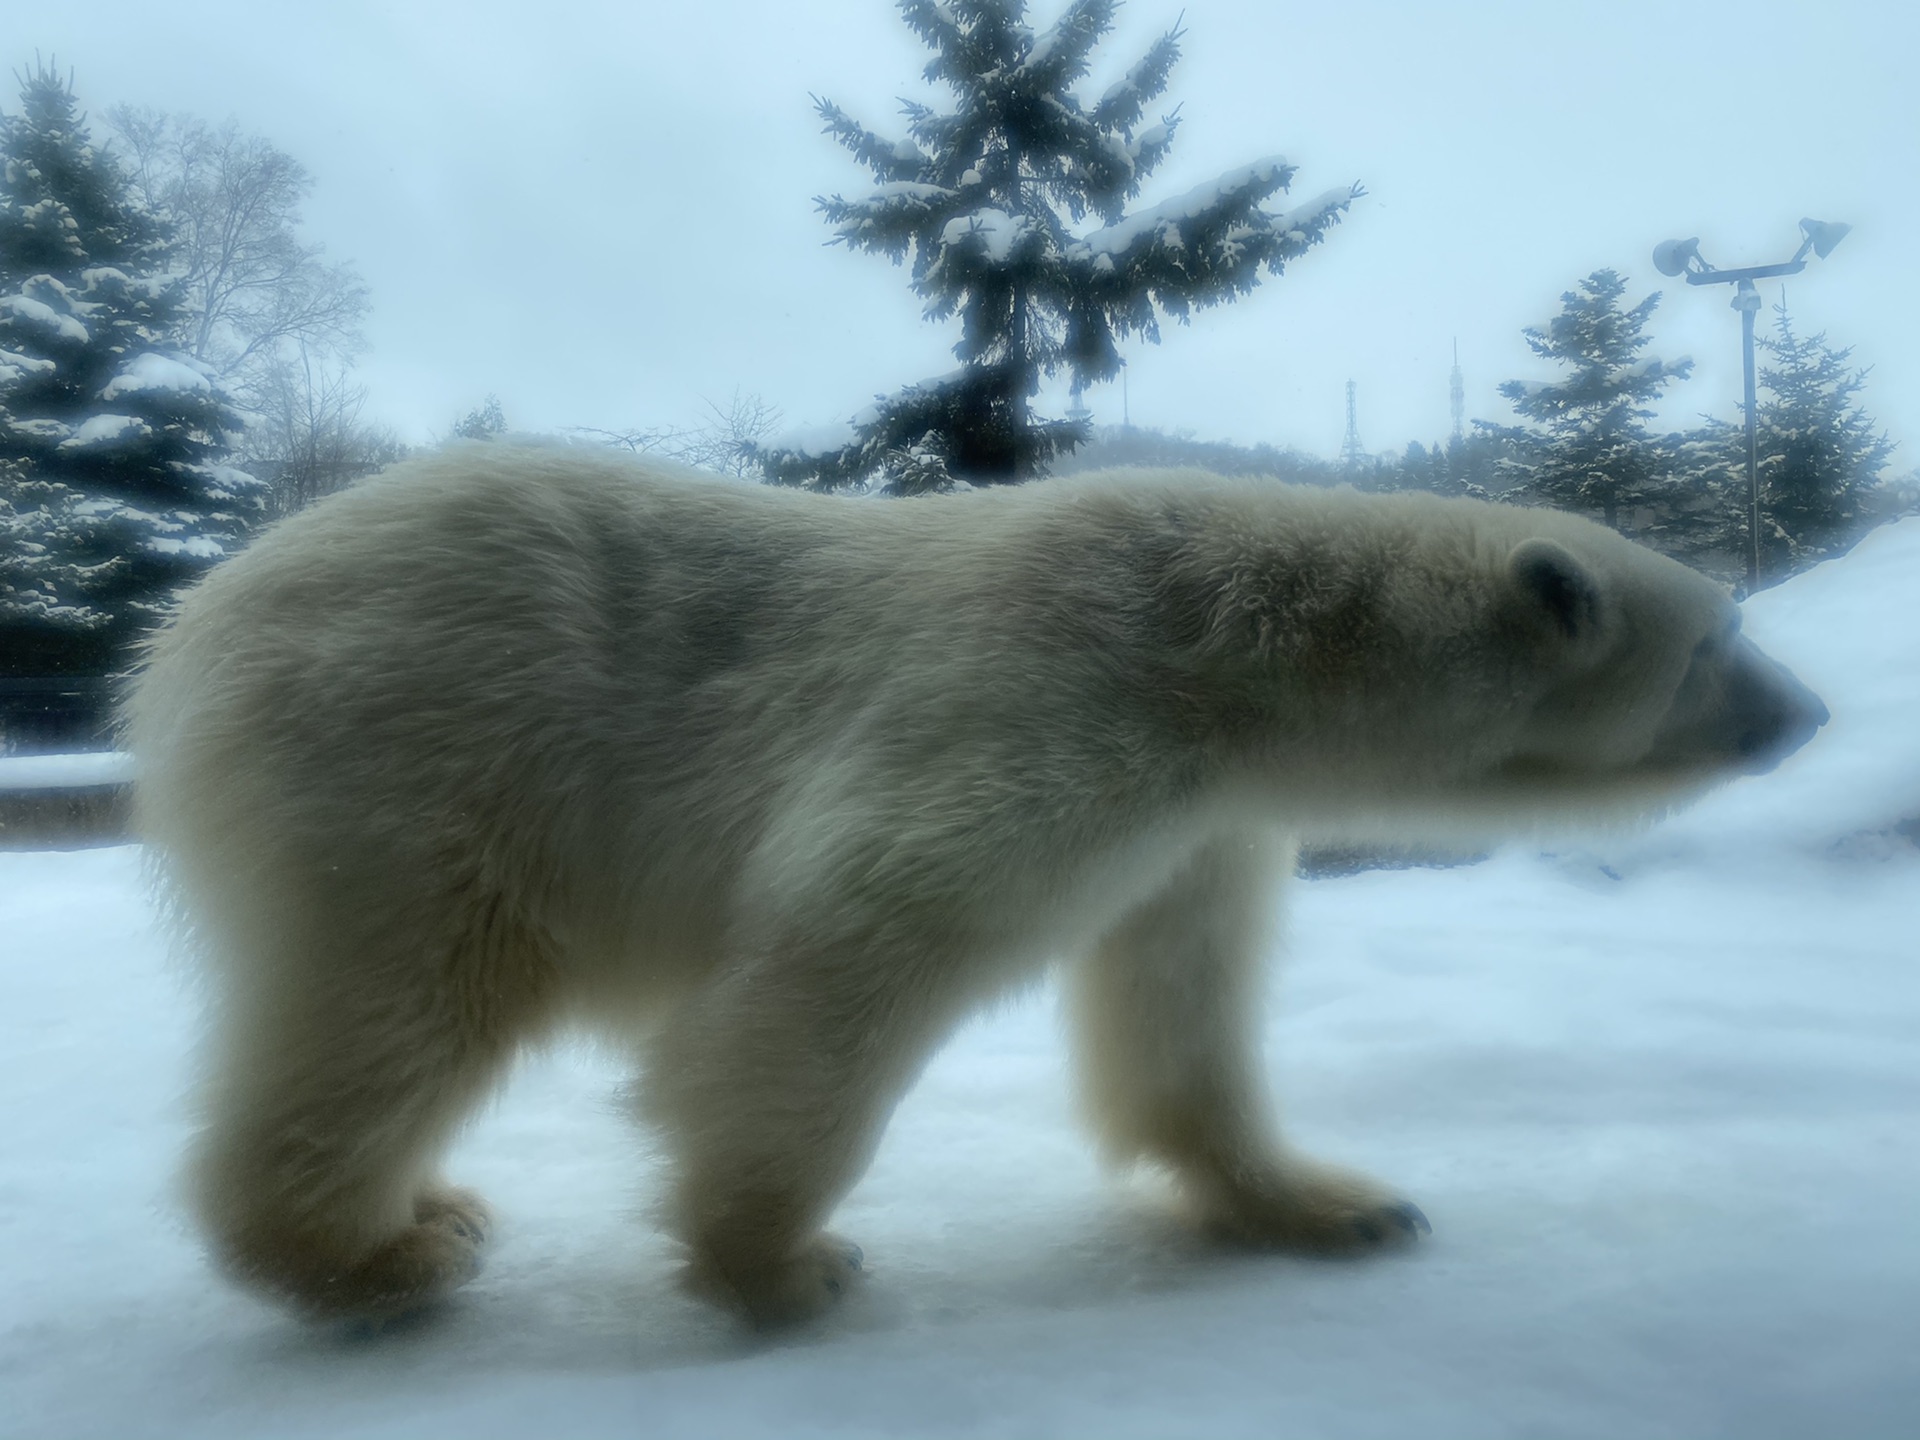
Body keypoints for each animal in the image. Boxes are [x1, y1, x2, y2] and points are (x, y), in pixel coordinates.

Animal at [123, 449, 1827, 1328]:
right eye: (1725, 631)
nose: (1810, 712)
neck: (1231, 645)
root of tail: (189, 626)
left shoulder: (1198, 821)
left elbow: (1182, 1018)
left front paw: (1336, 1204)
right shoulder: (1046, 695)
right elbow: (845, 943)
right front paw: (777, 1258)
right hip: (417, 755)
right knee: (397, 1000)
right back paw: (372, 1251)